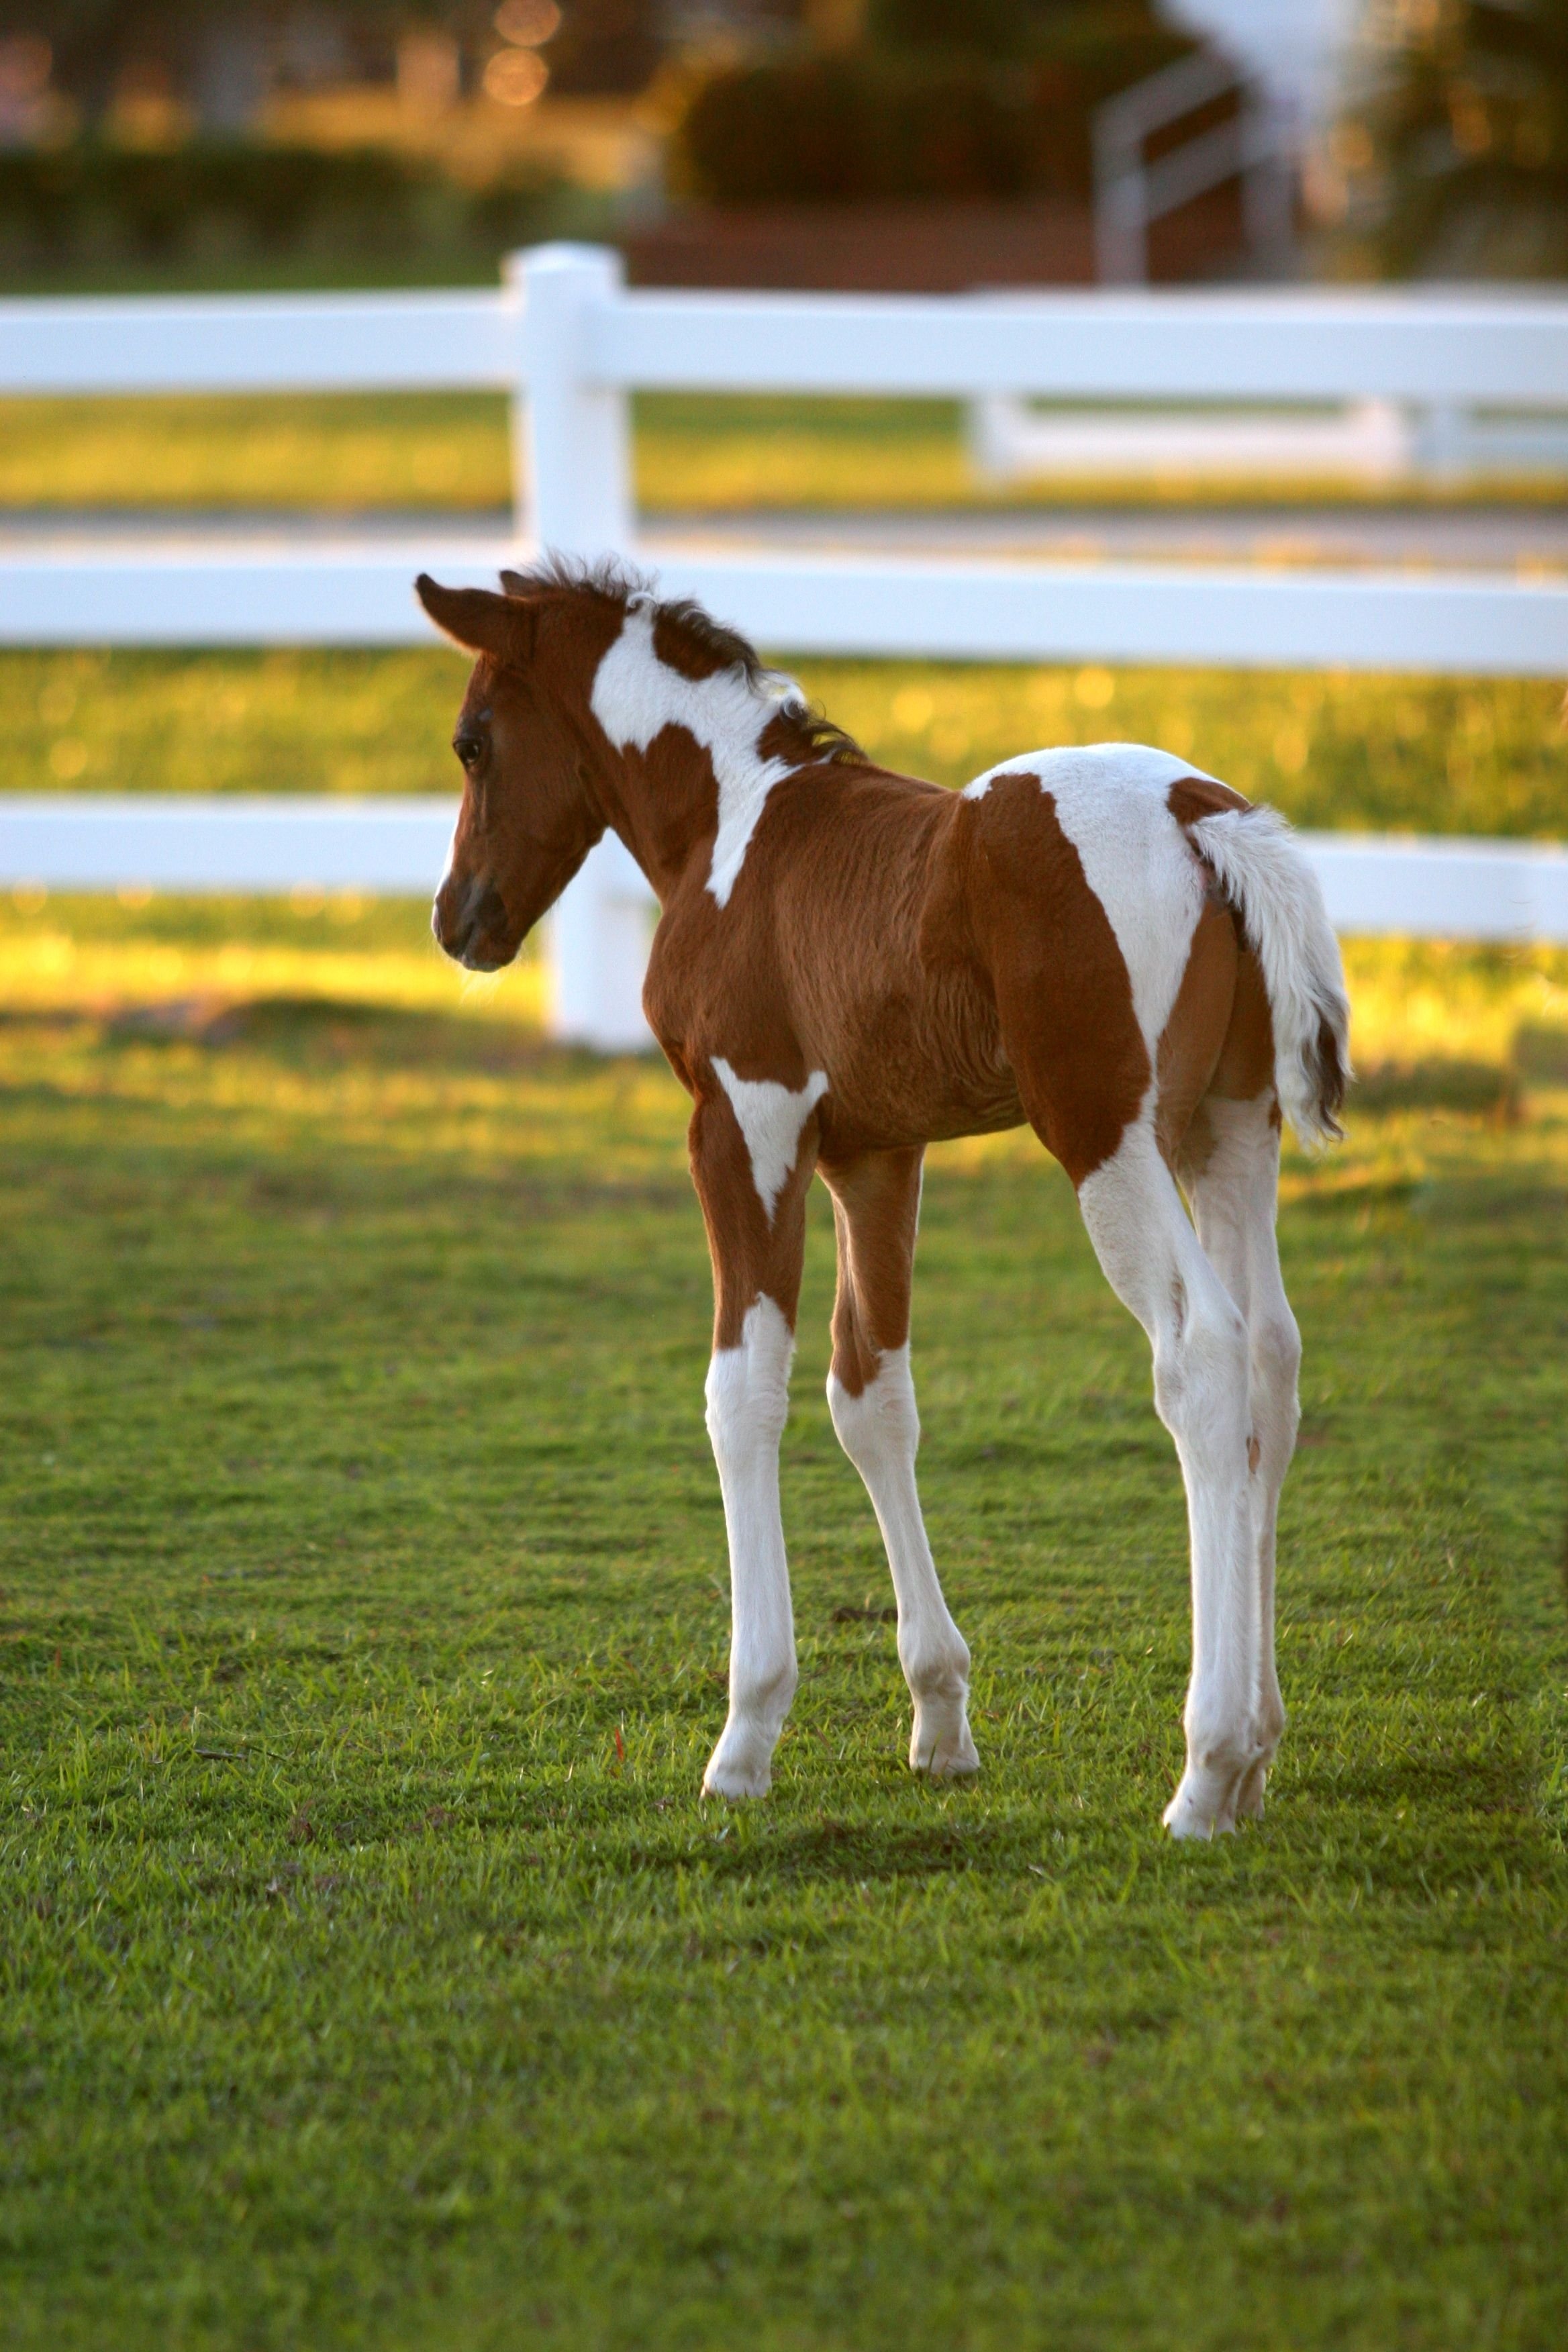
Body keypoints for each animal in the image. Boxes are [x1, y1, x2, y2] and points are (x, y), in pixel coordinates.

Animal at [415, 554, 1354, 1834]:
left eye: (471, 742)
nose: (458, 920)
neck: (734, 828)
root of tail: (1200, 814)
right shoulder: (875, 1153)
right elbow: (871, 1395)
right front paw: (940, 1718)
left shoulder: (743, 1126)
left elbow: (742, 1393)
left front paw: (745, 1735)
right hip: (1230, 1130)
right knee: (1271, 1356)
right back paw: (1256, 1751)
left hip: (1106, 1137)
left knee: (1201, 1357)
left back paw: (1205, 1771)